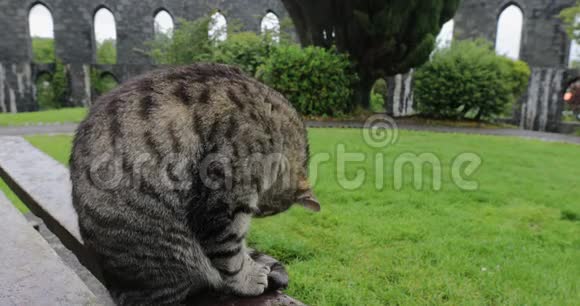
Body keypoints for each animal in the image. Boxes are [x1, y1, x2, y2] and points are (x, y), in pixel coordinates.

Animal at [71, 63, 322, 304]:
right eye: (263, 211)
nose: (256, 212)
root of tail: (113, 283)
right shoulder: (220, 203)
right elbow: (230, 254)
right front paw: (248, 279)